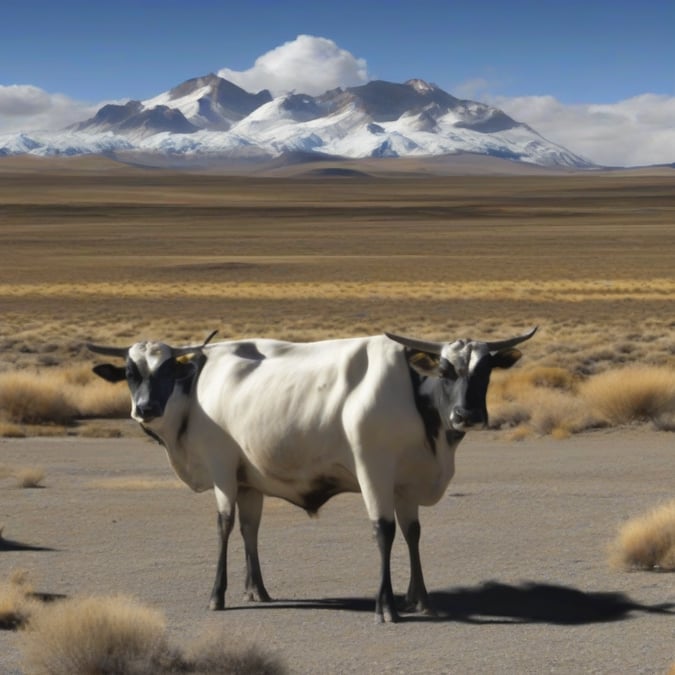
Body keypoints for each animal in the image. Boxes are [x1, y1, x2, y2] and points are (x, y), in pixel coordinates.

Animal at [88, 327, 536, 622]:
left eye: (485, 372)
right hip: (230, 473)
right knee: (232, 525)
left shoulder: (405, 481)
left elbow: (410, 533)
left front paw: (418, 599)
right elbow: (383, 531)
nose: (467, 414)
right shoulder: (369, 471)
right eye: (445, 371)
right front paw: (386, 605)